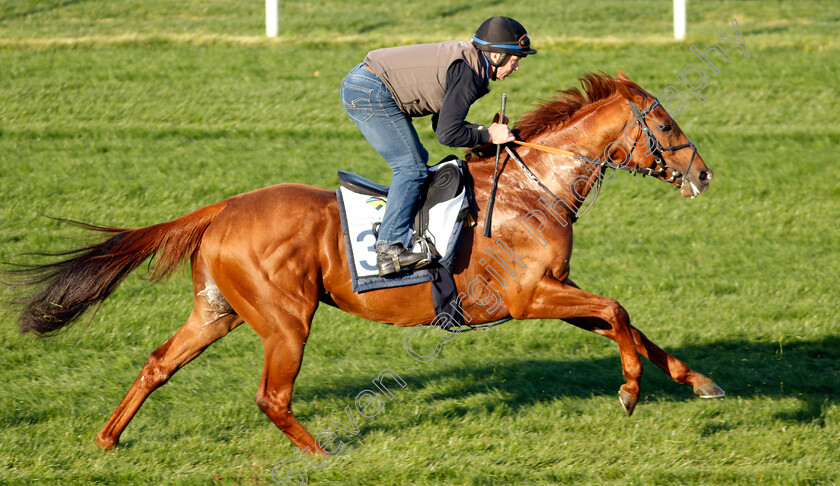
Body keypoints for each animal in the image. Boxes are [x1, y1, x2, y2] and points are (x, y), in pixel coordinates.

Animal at [3, 70, 720, 454]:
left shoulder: (554, 290)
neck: (531, 188)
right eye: (664, 123)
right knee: (271, 395)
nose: (705, 174)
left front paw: (697, 381)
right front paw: (629, 392)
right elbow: (618, 311)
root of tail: (224, 207)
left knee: (158, 364)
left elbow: (632, 326)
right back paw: (320, 454)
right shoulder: (528, 297)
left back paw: (107, 438)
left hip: (218, 311)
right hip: (285, 319)